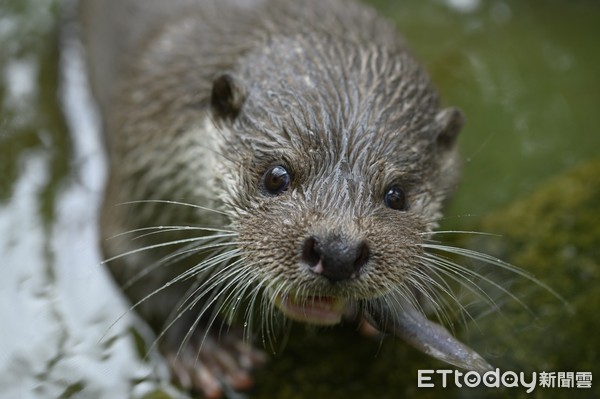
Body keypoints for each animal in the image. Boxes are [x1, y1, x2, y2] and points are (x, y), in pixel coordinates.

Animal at [79, 0, 492, 396]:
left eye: (397, 195)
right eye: (276, 176)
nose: (337, 252)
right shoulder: (141, 164)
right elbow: (133, 259)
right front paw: (206, 345)